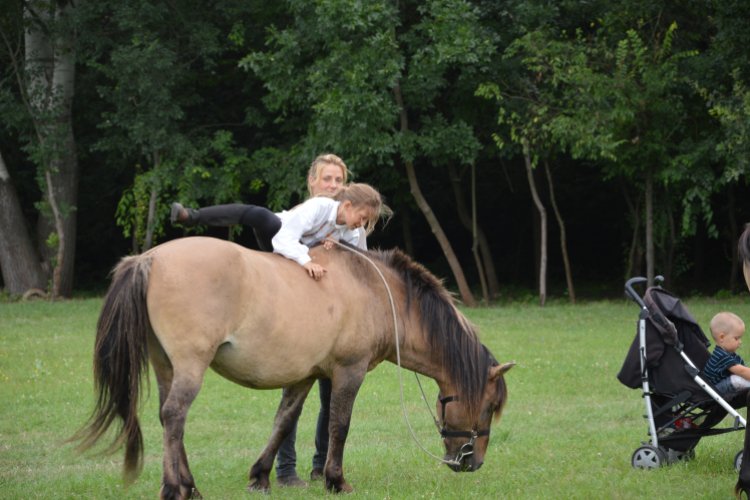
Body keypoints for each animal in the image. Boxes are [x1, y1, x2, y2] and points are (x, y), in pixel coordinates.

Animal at [73, 236, 516, 498]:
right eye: (489, 407)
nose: (472, 462)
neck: (375, 290)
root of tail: (148, 258)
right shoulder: (349, 372)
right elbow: (339, 425)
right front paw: (336, 480)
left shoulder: (306, 376)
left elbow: (284, 421)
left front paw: (261, 475)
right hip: (190, 366)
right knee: (174, 416)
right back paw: (174, 489)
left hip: (167, 366)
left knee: (170, 419)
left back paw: (190, 486)